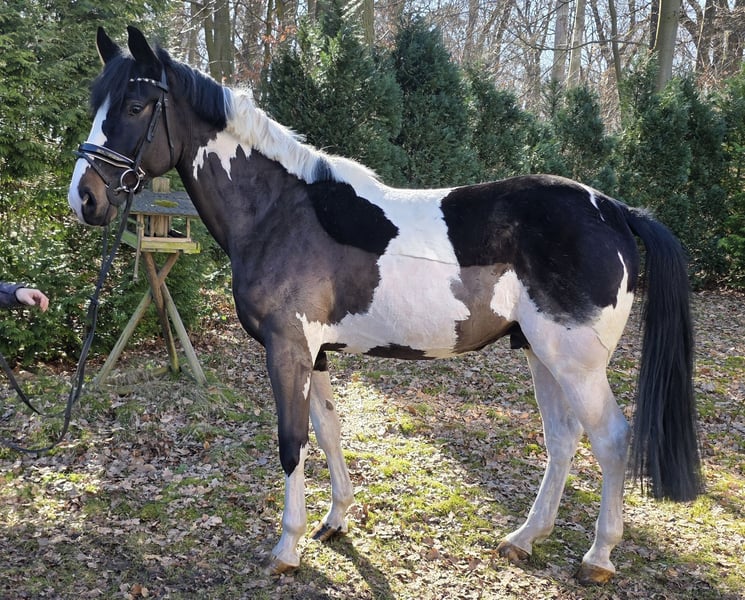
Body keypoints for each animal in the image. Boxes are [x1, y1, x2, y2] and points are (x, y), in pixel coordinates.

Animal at [68, 26, 702, 585]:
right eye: (98, 101)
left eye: (134, 105)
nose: (86, 198)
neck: (281, 212)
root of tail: (614, 210)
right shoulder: (316, 352)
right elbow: (328, 430)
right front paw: (334, 521)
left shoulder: (286, 349)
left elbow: (292, 443)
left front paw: (287, 548)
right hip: (540, 355)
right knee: (563, 440)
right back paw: (524, 539)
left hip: (575, 363)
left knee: (611, 439)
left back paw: (598, 557)